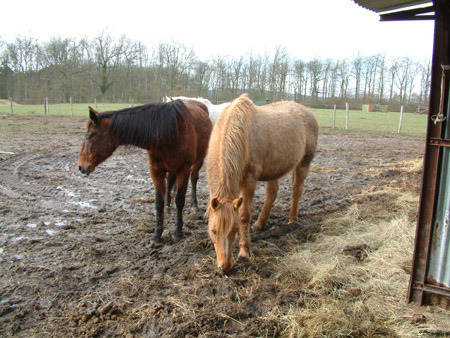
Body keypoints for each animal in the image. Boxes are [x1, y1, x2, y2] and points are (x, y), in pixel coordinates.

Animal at [77, 100, 213, 243]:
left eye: (90, 136)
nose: (81, 166)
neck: (170, 133)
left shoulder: (184, 170)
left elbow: (180, 200)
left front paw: (178, 232)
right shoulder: (156, 170)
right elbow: (159, 202)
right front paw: (157, 234)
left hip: (198, 161)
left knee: (194, 178)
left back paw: (194, 205)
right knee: (170, 181)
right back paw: (168, 207)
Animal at [206, 93, 318, 274]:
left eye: (235, 230)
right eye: (213, 231)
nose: (225, 267)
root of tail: (307, 112)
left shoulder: (248, 181)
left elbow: (244, 216)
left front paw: (244, 252)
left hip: (303, 164)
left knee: (296, 191)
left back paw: (292, 220)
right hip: (275, 168)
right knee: (272, 193)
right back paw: (260, 223)